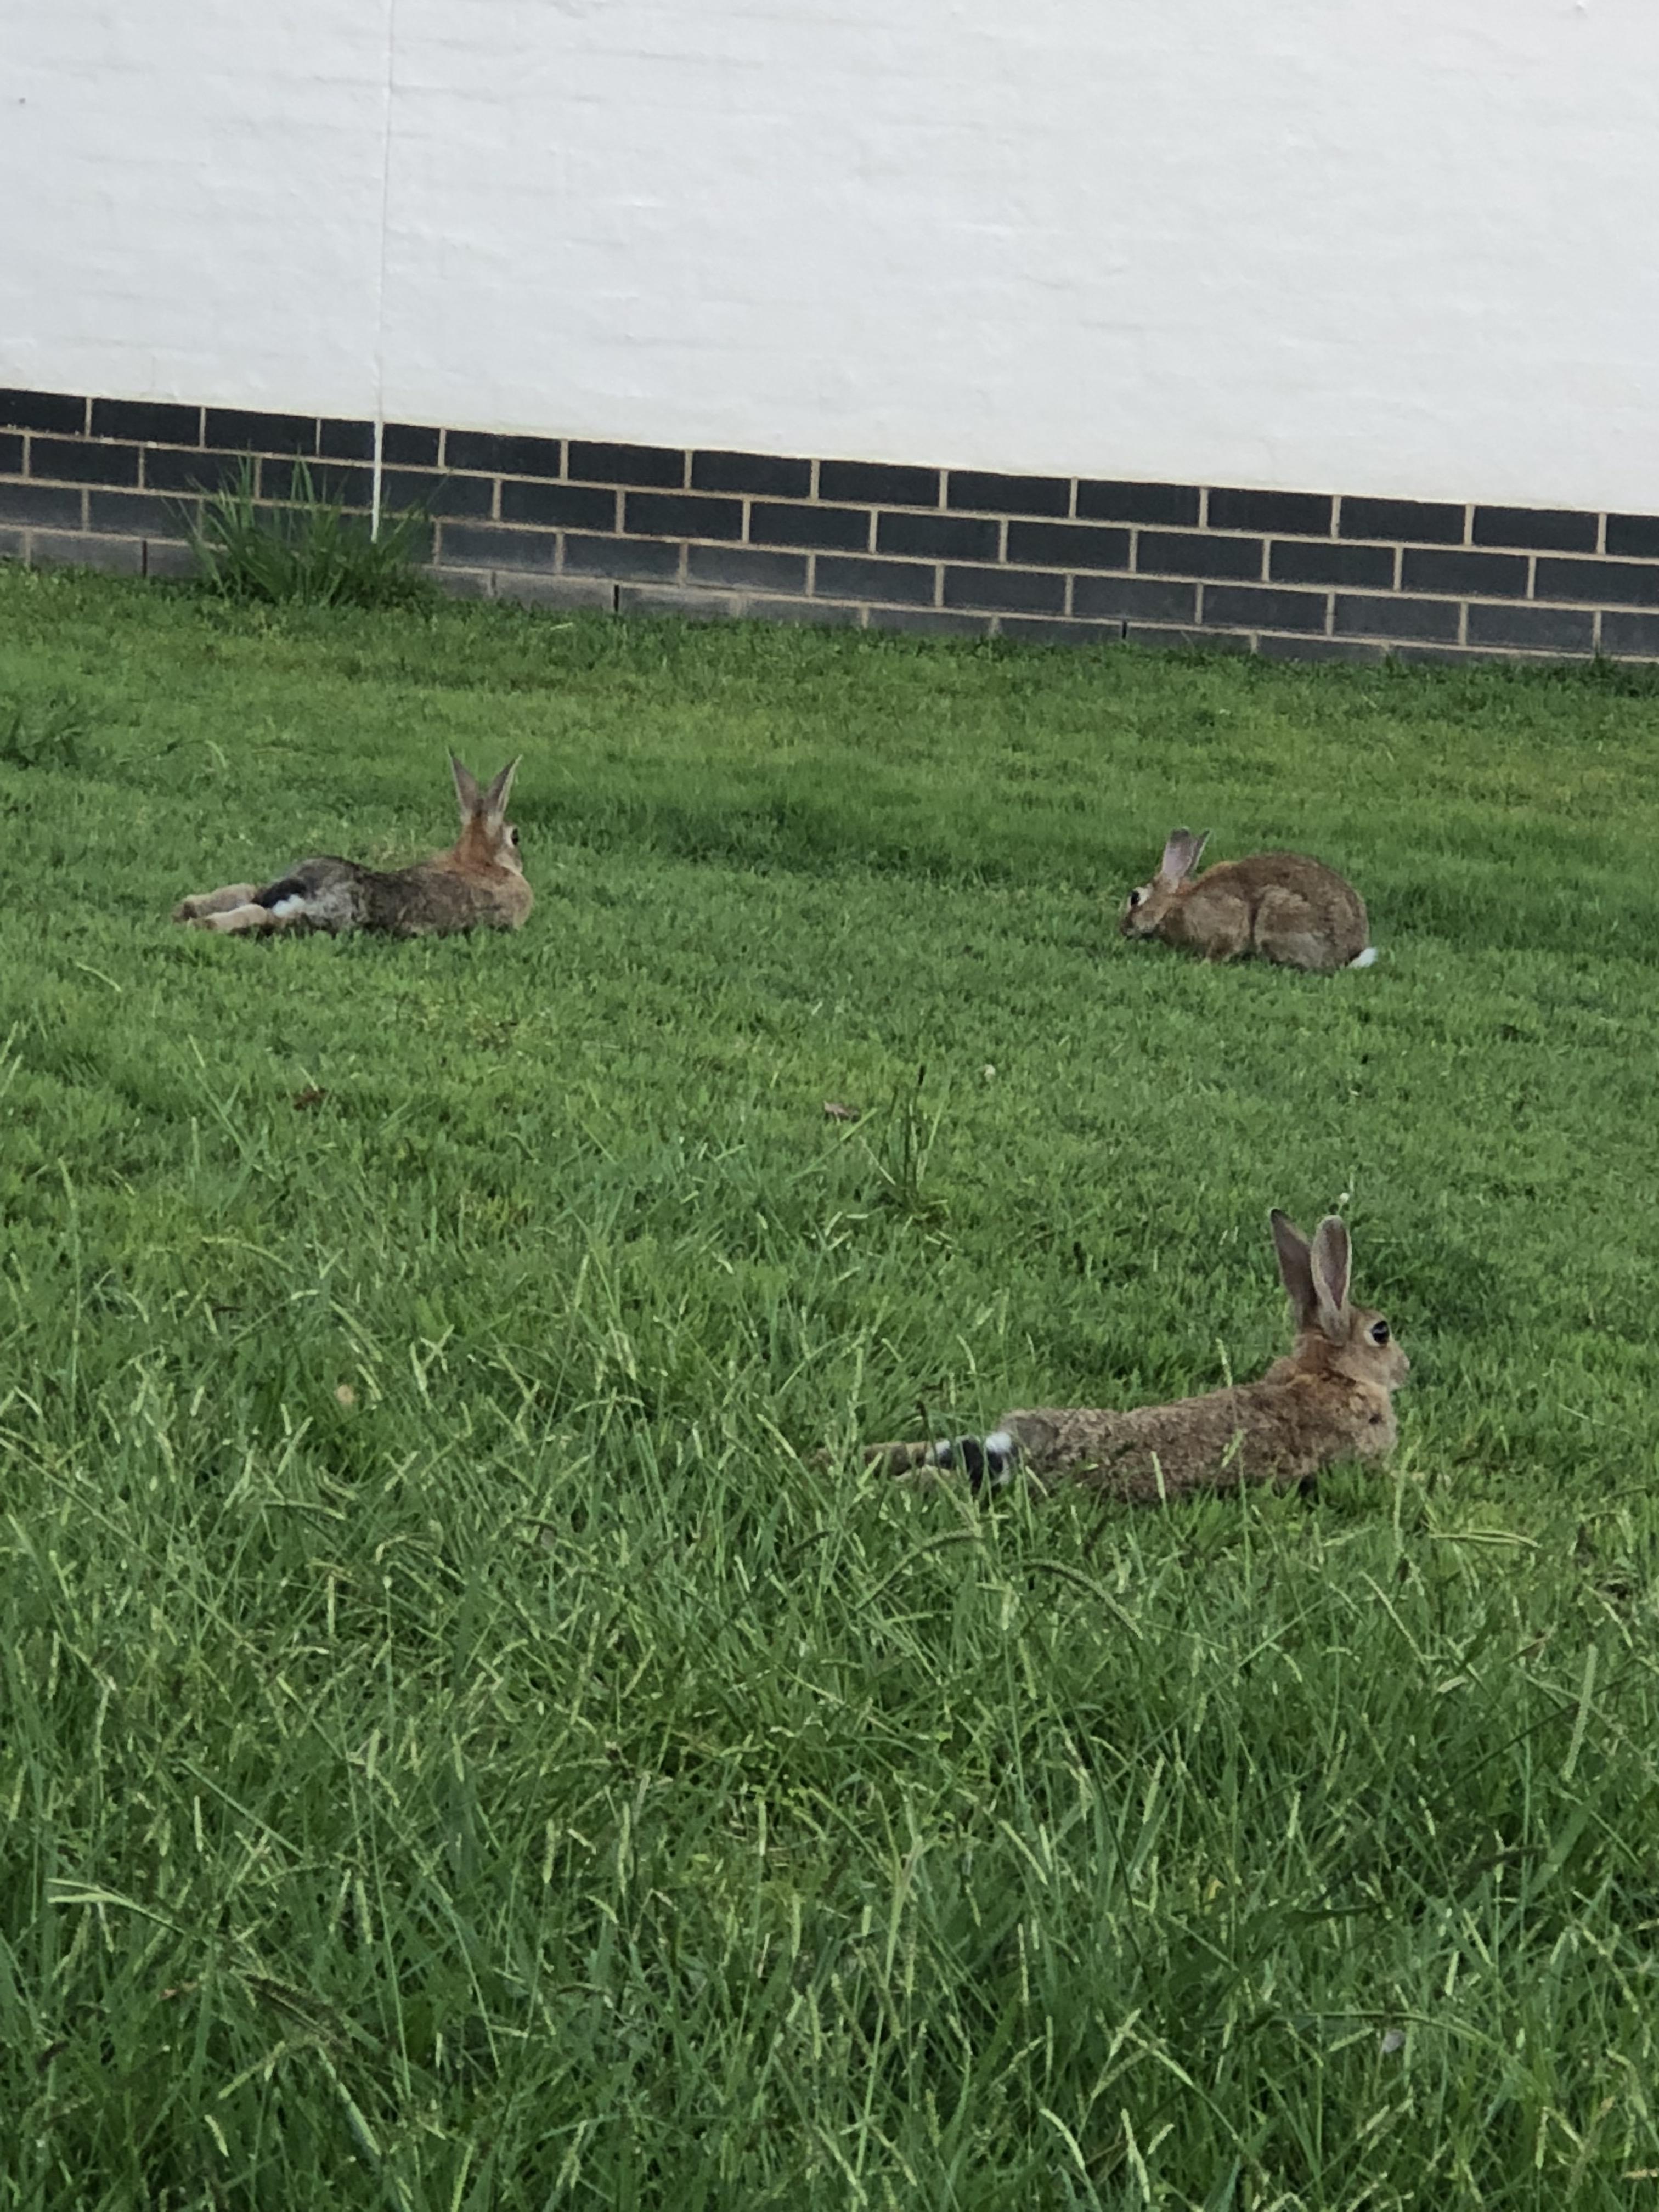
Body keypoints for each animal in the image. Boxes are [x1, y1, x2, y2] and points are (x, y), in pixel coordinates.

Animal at [173, 757, 531, 936]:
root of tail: (305, 884)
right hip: (323, 916)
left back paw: (185, 911)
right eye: (515, 837)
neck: (480, 861)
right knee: (262, 916)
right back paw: (201, 924)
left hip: (273, 886)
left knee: (242, 892)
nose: (521, 862)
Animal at [1120, 829, 1375, 971]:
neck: (1172, 905)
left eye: (1135, 898)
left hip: (1278, 912)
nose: (1123, 929)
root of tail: (1349, 956)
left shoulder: (1228, 923)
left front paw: (1203, 965)